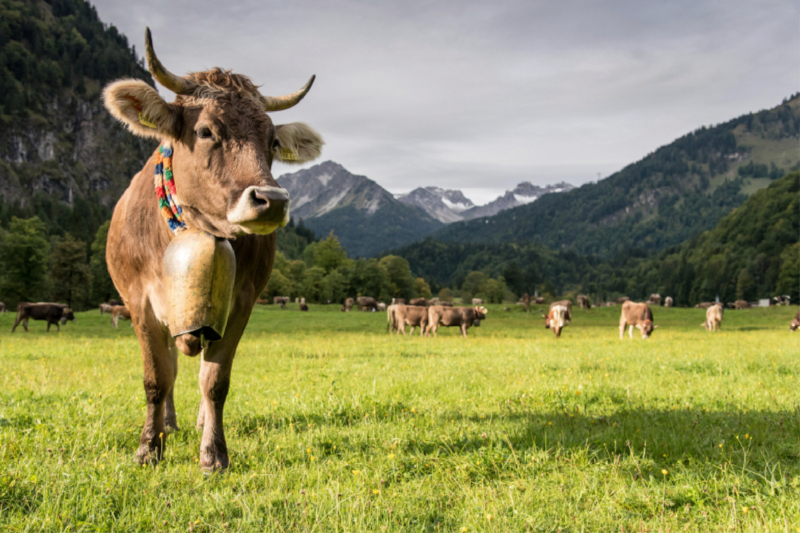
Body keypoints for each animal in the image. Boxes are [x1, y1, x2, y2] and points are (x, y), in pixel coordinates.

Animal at [101, 29, 320, 470]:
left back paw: (200, 422)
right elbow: (156, 378)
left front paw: (213, 453)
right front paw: (149, 447)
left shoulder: (241, 301)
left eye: (272, 140)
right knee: (170, 367)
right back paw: (168, 423)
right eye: (204, 131)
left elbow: (215, 379)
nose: (272, 200)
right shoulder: (138, 301)